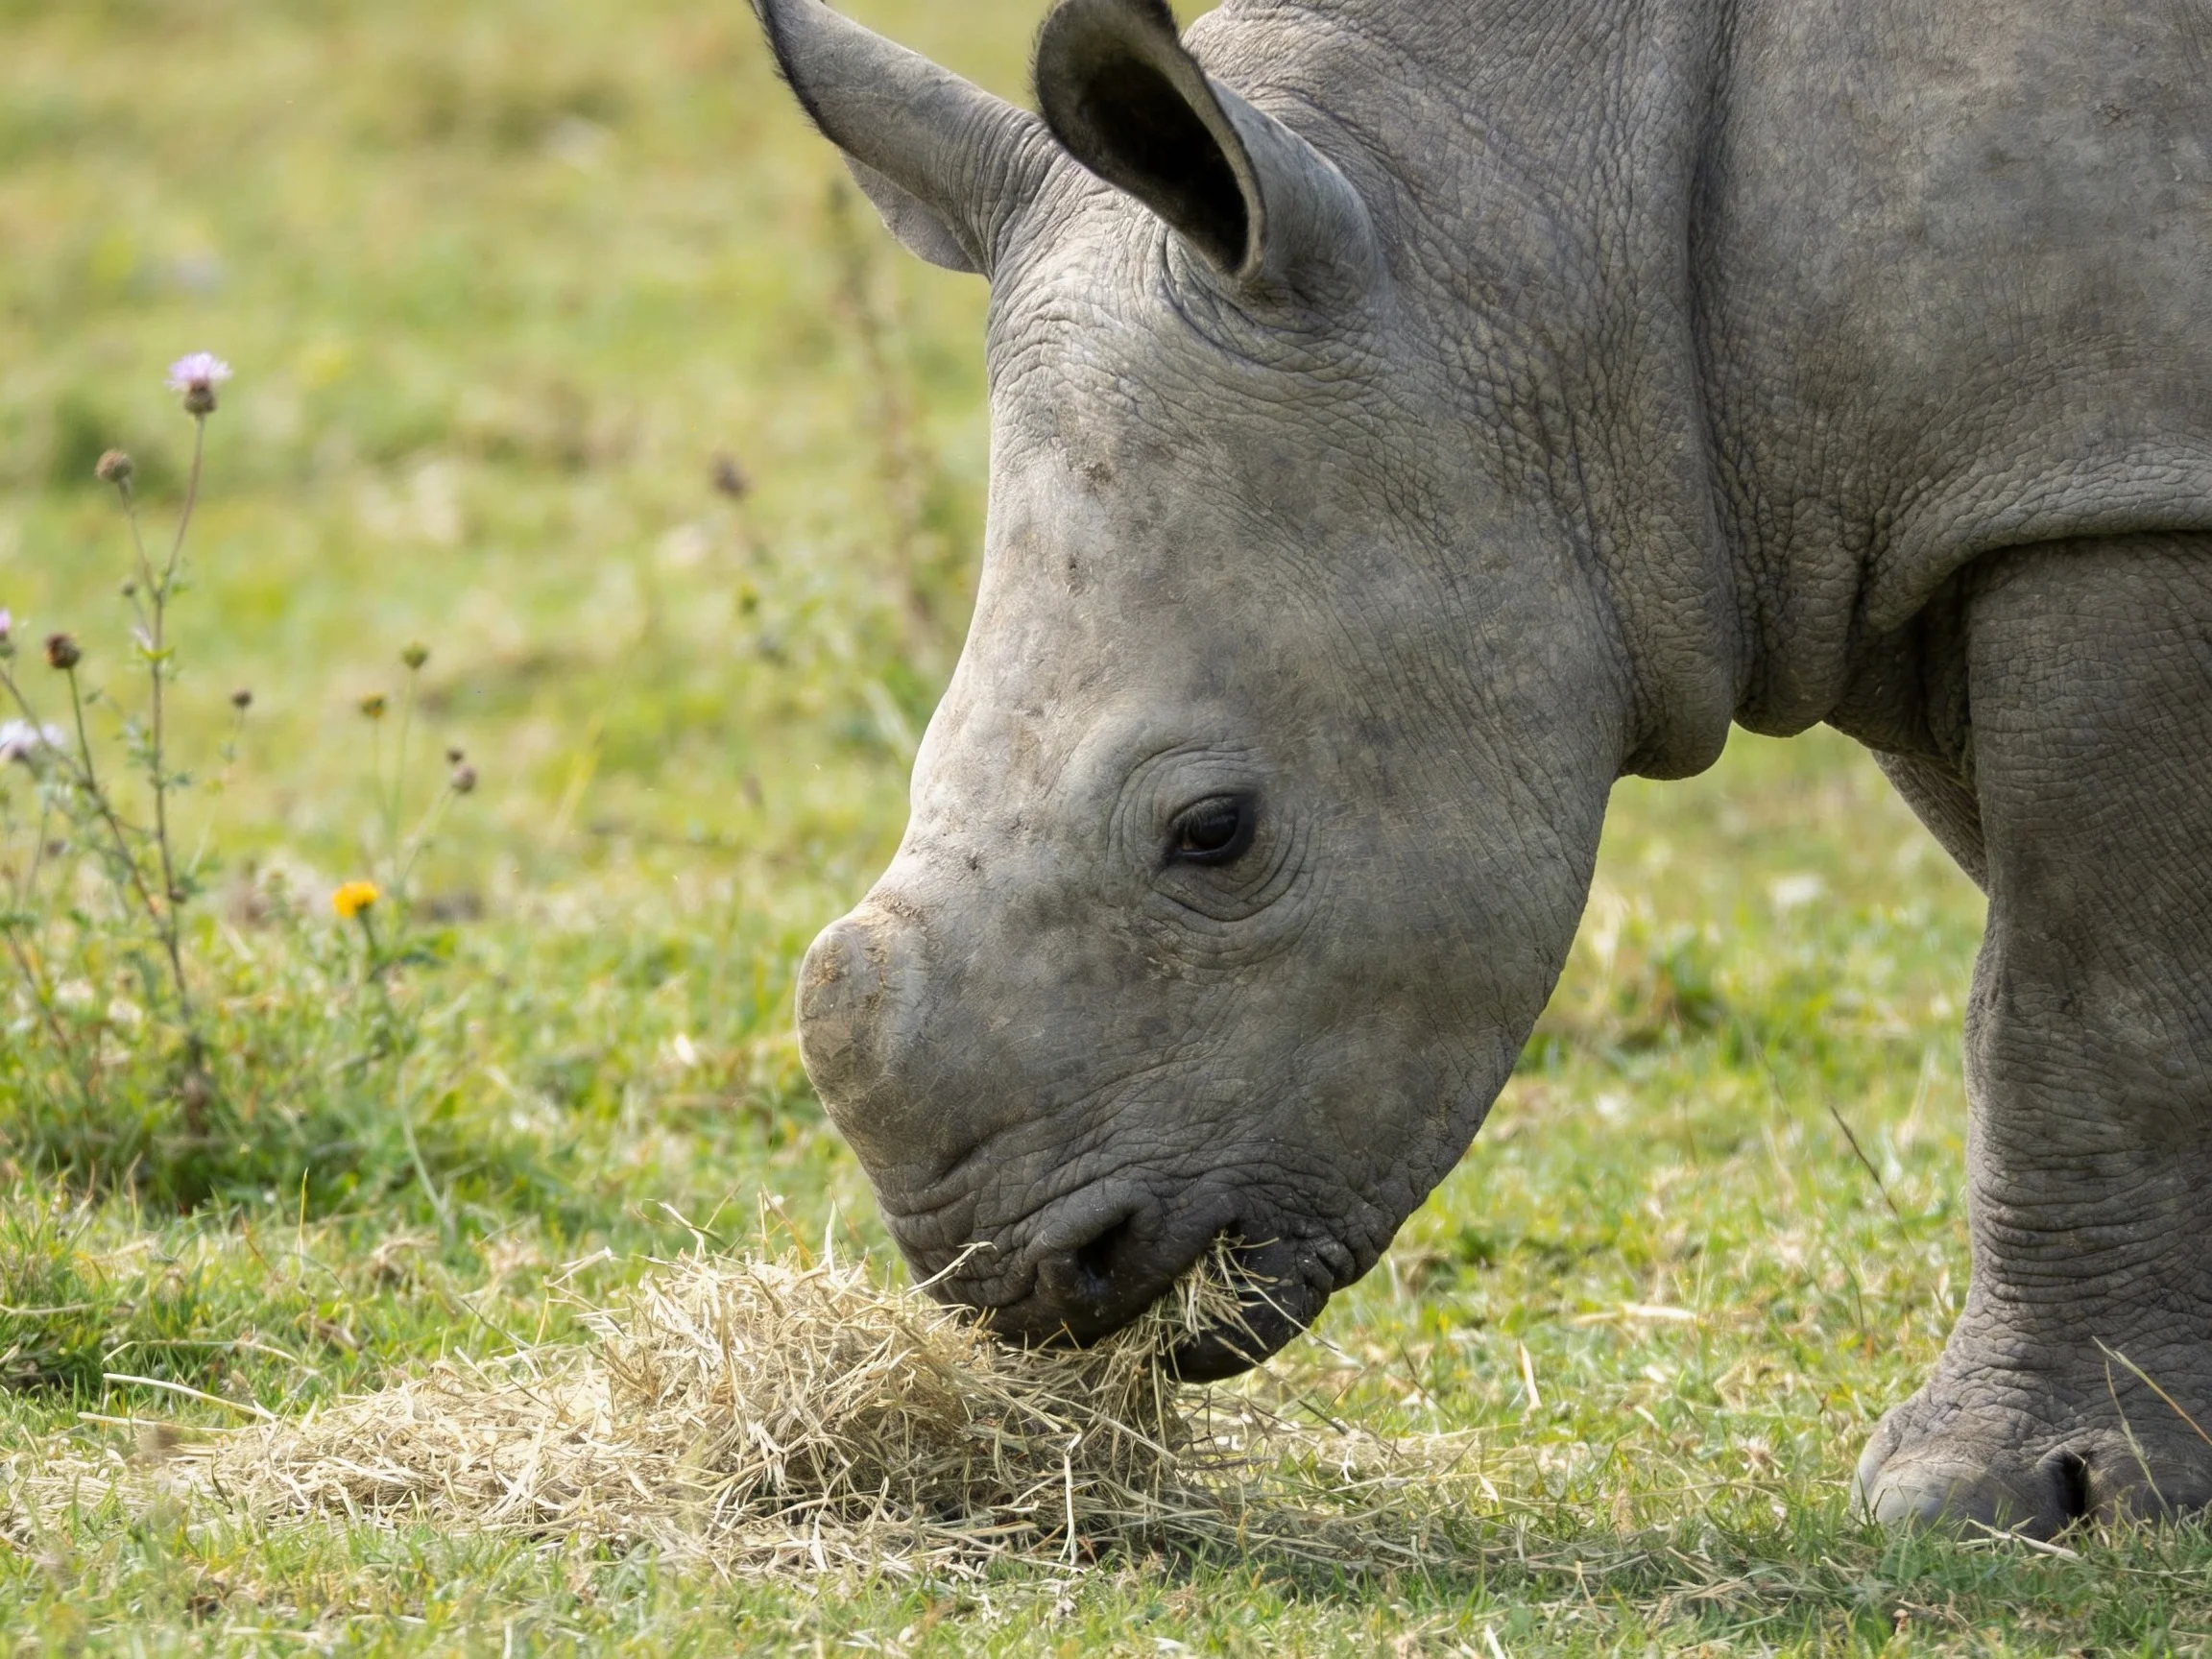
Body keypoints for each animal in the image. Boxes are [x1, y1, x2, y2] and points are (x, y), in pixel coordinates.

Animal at [761, 0, 2212, 1537]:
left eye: (1215, 831)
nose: (1021, 1288)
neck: (1535, 235)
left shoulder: (2099, 490)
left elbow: (2075, 1005)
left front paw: (2000, 1495)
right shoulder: (1933, 511)